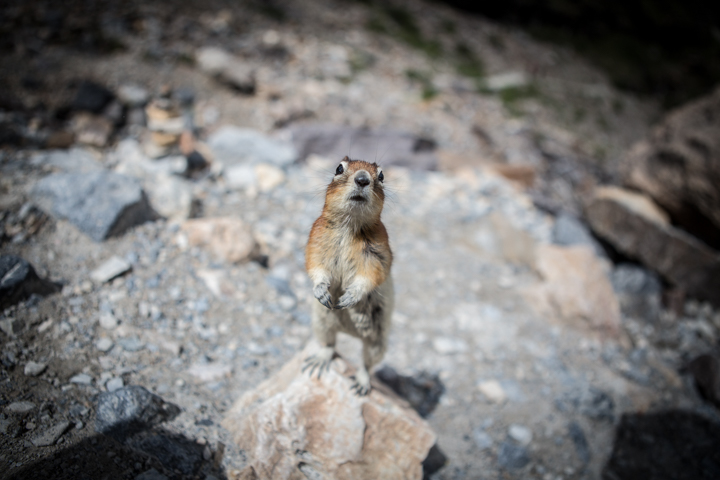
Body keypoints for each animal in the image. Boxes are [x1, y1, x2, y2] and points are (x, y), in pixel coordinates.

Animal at [303, 156, 394, 395]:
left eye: (381, 175)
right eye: (338, 168)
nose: (362, 179)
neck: (350, 224)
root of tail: (349, 333)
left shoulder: (378, 252)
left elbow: (371, 275)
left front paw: (351, 297)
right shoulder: (315, 239)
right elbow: (315, 265)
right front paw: (321, 291)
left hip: (378, 341)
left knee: (366, 363)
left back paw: (361, 383)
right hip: (321, 322)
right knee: (329, 344)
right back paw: (317, 362)